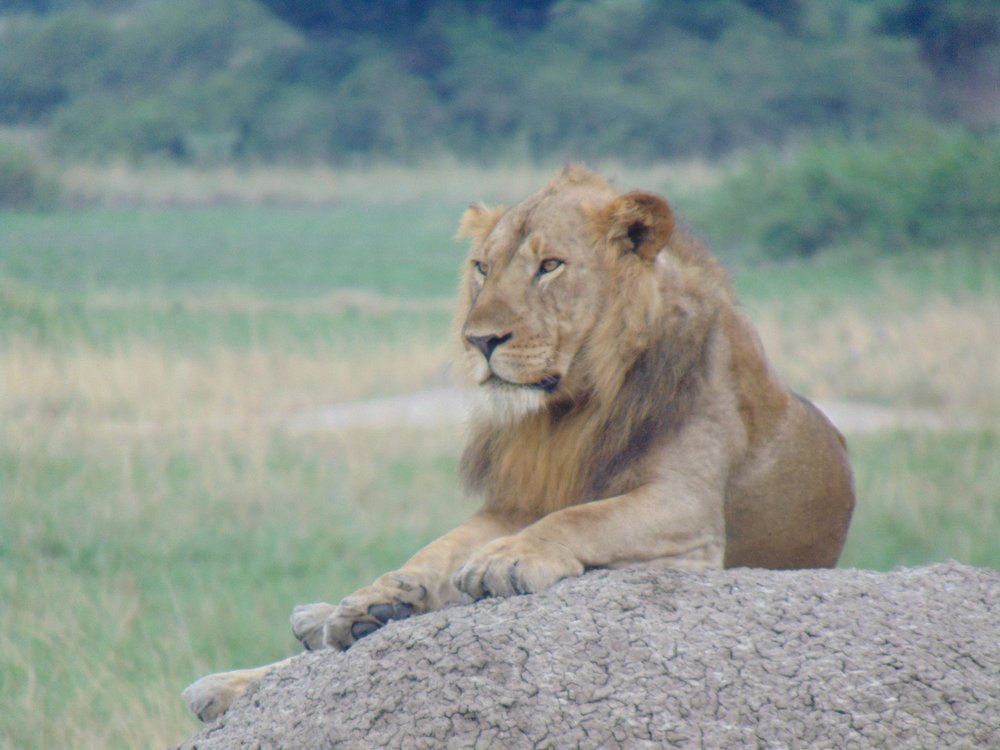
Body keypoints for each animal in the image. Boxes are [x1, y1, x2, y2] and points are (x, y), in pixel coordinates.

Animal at [184, 166, 856, 724]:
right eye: (483, 268)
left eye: (549, 266)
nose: (479, 340)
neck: (568, 409)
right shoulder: (513, 502)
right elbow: (439, 549)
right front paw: (383, 594)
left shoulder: (688, 515)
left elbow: (581, 518)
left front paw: (506, 561)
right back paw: (292, 643)